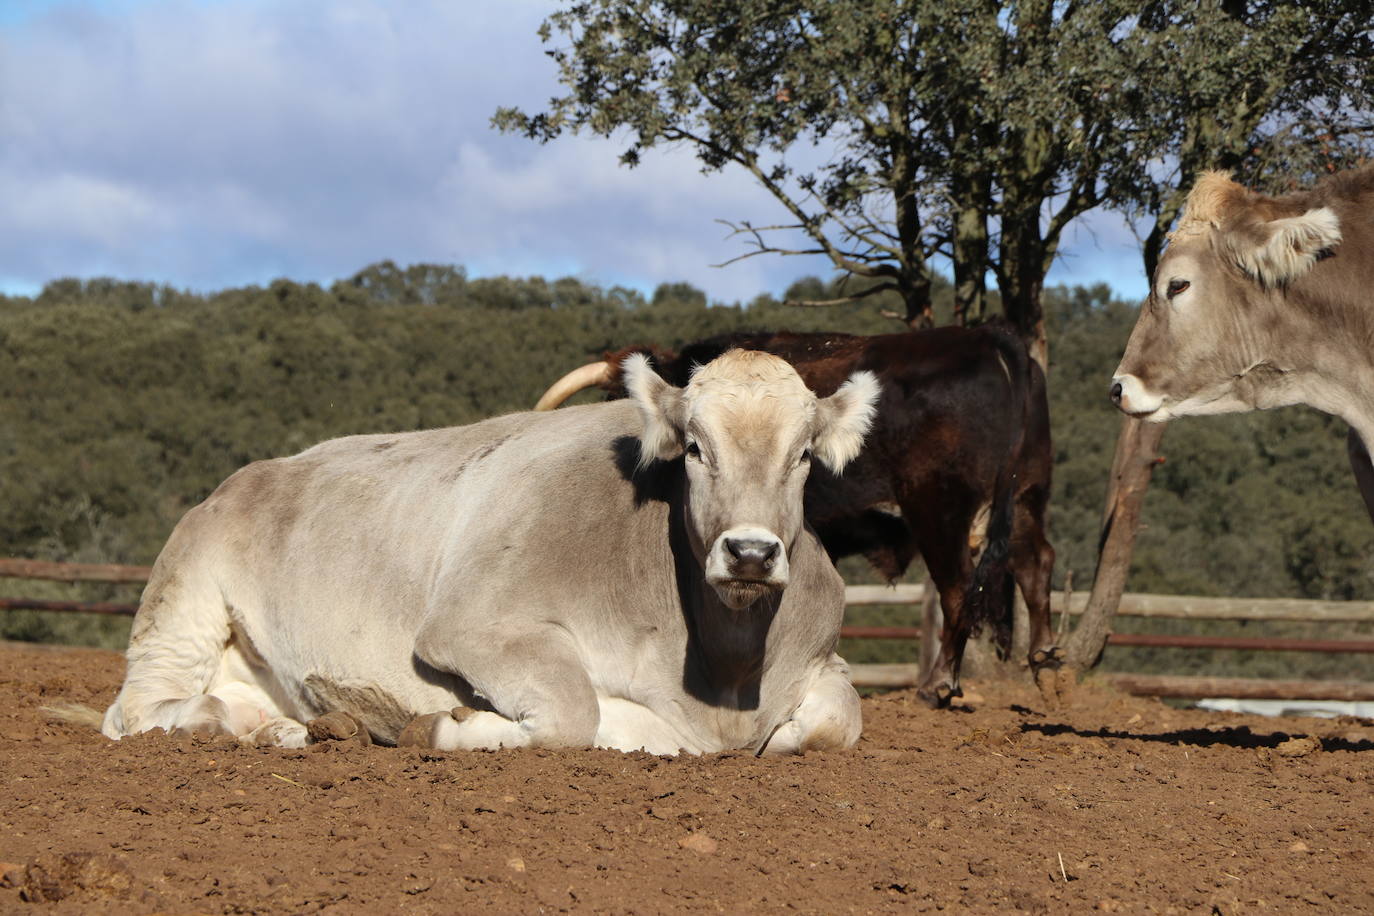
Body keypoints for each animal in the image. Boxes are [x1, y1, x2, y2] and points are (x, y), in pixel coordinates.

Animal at [530, 325, 1055, 708]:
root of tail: (988, 338)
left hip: (940, 510)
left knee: (959, 588)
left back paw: (938, 684)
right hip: (1027, 496)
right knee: (1035, 564)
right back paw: (1044, 659)